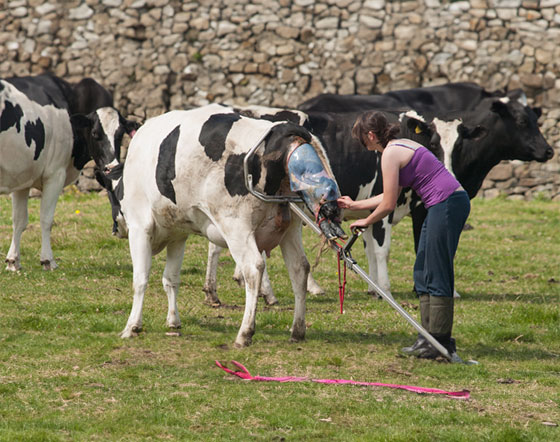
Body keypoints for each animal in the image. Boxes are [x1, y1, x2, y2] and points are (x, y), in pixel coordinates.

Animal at [0, 74, 136, 272]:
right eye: (95, 133)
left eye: (120, 135)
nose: (111, 166)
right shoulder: (55, 174)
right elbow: (46, 218)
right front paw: (48, 260)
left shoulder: (23, 176)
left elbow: (19, 220)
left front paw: (13, 261)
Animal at [94, 104, 344, 348]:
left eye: (112, 197)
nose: (116, 229)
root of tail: (281, 129)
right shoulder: (178, 234)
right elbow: (171, 279)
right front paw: (173, 320)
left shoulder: (140, 227)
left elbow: (140, 279)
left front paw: (132, 326)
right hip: (290, 227)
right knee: (299, 268)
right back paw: (297, 330)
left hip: (236, 226)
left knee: (253, 268)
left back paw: (245, 333)